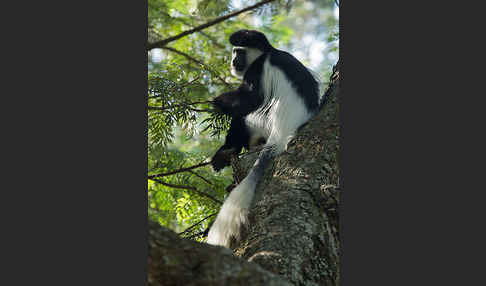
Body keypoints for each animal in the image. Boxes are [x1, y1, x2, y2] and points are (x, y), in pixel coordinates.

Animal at [207, 29, 324, 248]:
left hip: (262, 122)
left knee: (242, 117)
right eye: (234, 51)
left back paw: (227, 151)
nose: (233, 61)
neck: (267, 53)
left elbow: (252, 98)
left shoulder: (258, 70)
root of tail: (282, 134)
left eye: (240, 52)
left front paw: (218, 101)